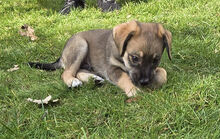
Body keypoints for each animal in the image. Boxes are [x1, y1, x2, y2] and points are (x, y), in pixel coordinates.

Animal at [28, 20, 172, 97]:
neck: (122, 55)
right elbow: (124, 78)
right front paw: (134, 90)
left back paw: (94, 79)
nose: (144, 82)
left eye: (155, 60)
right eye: (135, 58)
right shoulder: (112, 69)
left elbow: (163, 73)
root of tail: (62, 55)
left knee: (78, 71)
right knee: (67, 72)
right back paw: (73, 82)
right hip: (81, 45)